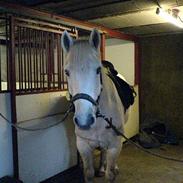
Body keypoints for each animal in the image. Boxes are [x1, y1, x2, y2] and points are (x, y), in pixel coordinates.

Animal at [60, 29, 128, 182]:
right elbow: (89, 173)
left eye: (97, 70)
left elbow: (110, 174)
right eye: (67, 72)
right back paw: (101, 168)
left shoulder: (115, 146)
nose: (84, 120)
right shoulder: (83, 146)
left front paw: (112, 170)